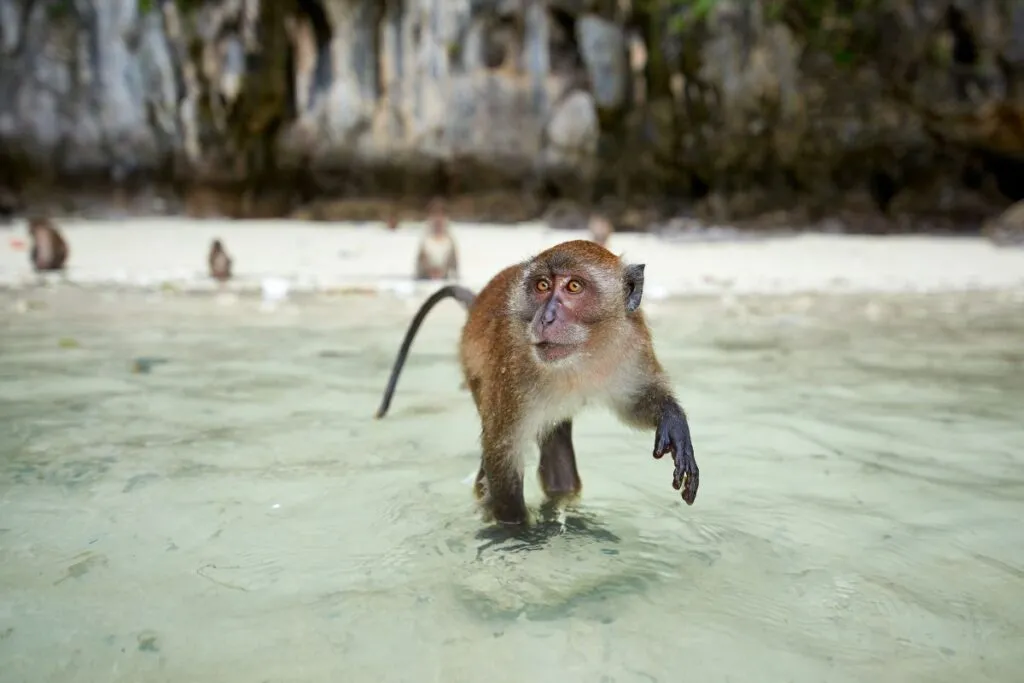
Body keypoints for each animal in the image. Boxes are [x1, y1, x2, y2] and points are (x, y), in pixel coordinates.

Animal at [376, 240, 698, 526]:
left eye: (573, 286)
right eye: (542, 285)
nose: (546, 318)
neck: (582, 353)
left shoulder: (633, 343)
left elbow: (634, 402)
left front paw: (672, 419)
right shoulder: (512, 367)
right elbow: (501, 451)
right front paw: (519, 532)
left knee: (557, 444)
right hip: (475, 371)